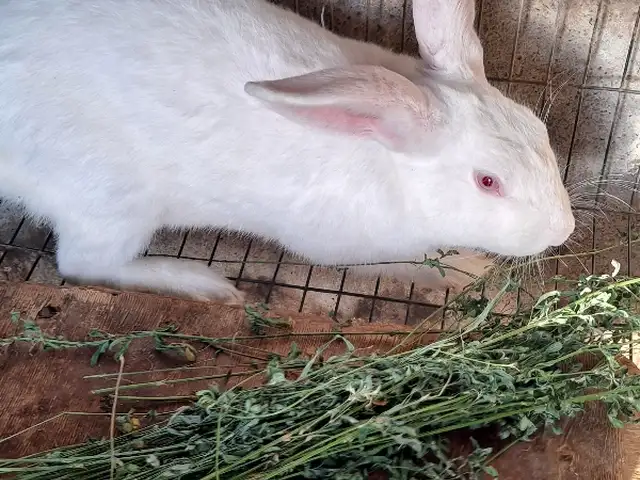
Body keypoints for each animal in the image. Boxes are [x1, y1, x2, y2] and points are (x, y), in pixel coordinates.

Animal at [0, 0, 575, 305]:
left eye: (540, 128)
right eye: (488, 182)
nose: (562, 231)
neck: (384, 154)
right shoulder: (343, 247)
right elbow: (413, 262)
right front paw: (469, 269)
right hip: (111, 200)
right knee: (85, 265)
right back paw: (206, 285)